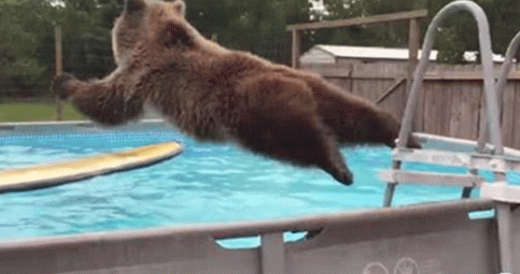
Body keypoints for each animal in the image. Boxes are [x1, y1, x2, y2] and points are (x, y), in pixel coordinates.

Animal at [51, 0, 418, 186]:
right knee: (359, 115)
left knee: (300, 139)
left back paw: (339, 168)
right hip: (325, 92)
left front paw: (65, 81)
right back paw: (404, 137)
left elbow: (109, 101)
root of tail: (300, 84)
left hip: (255, 111)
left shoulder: (143, 74)